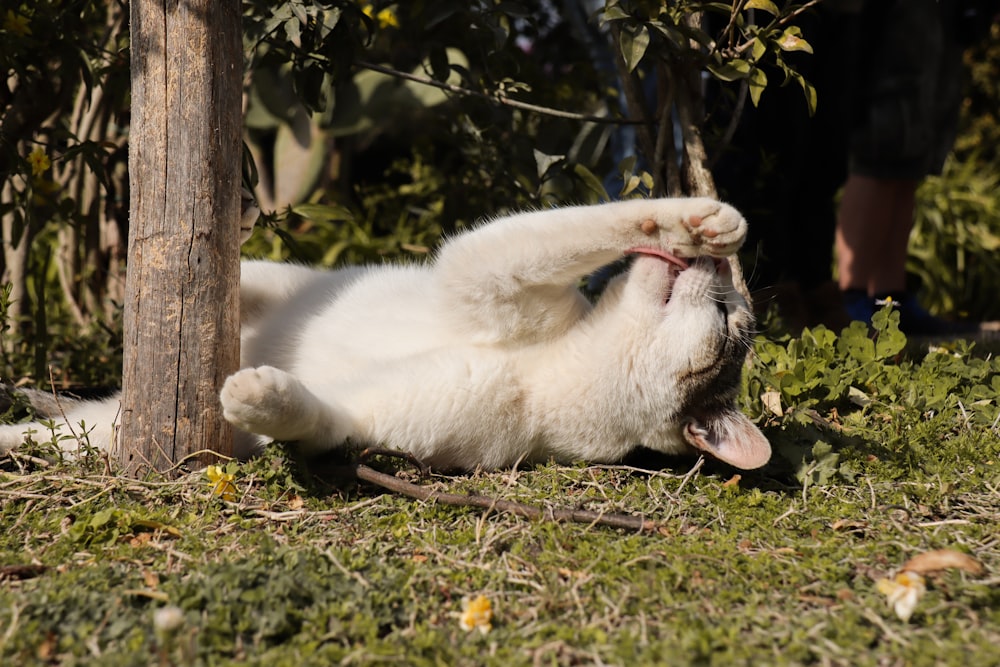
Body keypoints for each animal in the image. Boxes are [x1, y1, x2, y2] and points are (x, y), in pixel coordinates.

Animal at [0, 196, 768, 472]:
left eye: (727, 317)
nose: (719, 269)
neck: (553, 363)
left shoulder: (380, 424)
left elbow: (316, 422)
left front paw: (261, 396)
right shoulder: (486, 269)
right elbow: (588, 219)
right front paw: (699, 218)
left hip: (106, 435)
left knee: (52, 433)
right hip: (283, 276)